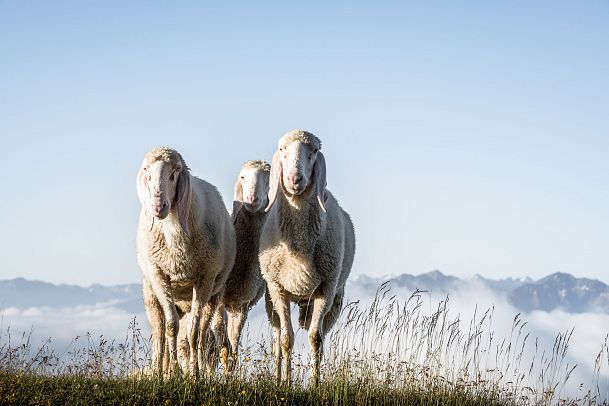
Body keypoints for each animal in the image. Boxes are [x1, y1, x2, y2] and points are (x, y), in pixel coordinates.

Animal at [137, 147, 236, 376]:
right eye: (146, 170)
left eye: (176, 171)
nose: (158, 206)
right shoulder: (159, 275)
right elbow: (171, 326)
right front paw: (172, 372)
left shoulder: (204, 279)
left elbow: (194, 332)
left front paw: (194, 374)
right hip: (151, 293)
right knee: (159, 332)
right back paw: (159, 371)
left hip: (213, 295)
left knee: (203, 333)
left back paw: (196, 369)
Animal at [258, 131, 356, 386]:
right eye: (282, 150)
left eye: (313, 152)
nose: (295, 178)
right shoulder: (278, 289)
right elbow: (286, 339)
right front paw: (286, 383)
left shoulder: (326, 289)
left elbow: (315, 339)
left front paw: (314, 384)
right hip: (270, 300)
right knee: (277, 339)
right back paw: (277, 378)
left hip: (334, 301)